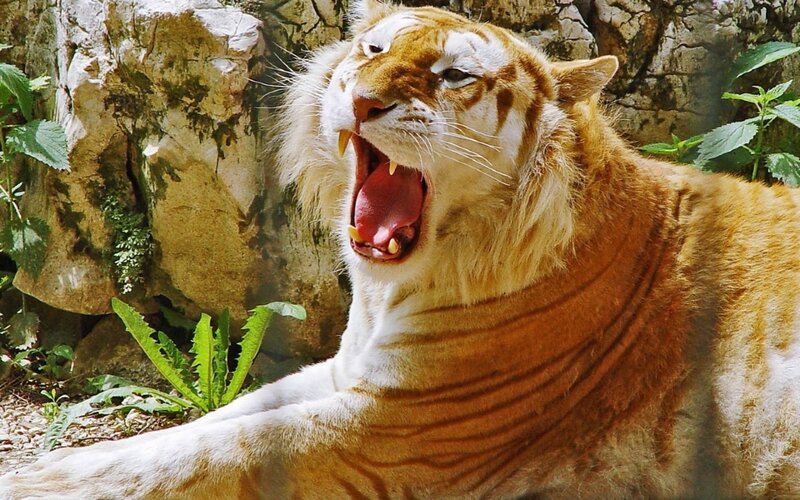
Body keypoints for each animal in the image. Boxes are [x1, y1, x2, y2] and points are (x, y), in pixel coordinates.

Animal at [2, 0, 800, 498]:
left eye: (454, 75)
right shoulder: (349, 374)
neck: (391, 288)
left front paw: (34, 482)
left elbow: (213, 452)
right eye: (374, 49)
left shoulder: (399, 425)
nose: (362, 99)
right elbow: (206, 425)